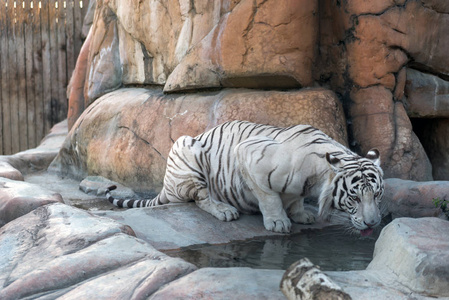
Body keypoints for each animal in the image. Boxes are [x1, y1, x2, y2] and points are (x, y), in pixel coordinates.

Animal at [106, 119, 384, 234]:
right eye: (354, 199)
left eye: (377, 196)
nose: (373, 224)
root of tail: (166, 184)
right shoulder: (248, 154)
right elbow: (269, 197)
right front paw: (278, 222)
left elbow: (294, 199)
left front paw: (300, 214)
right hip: (186, 147)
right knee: (200, 199)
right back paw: (224, 210)